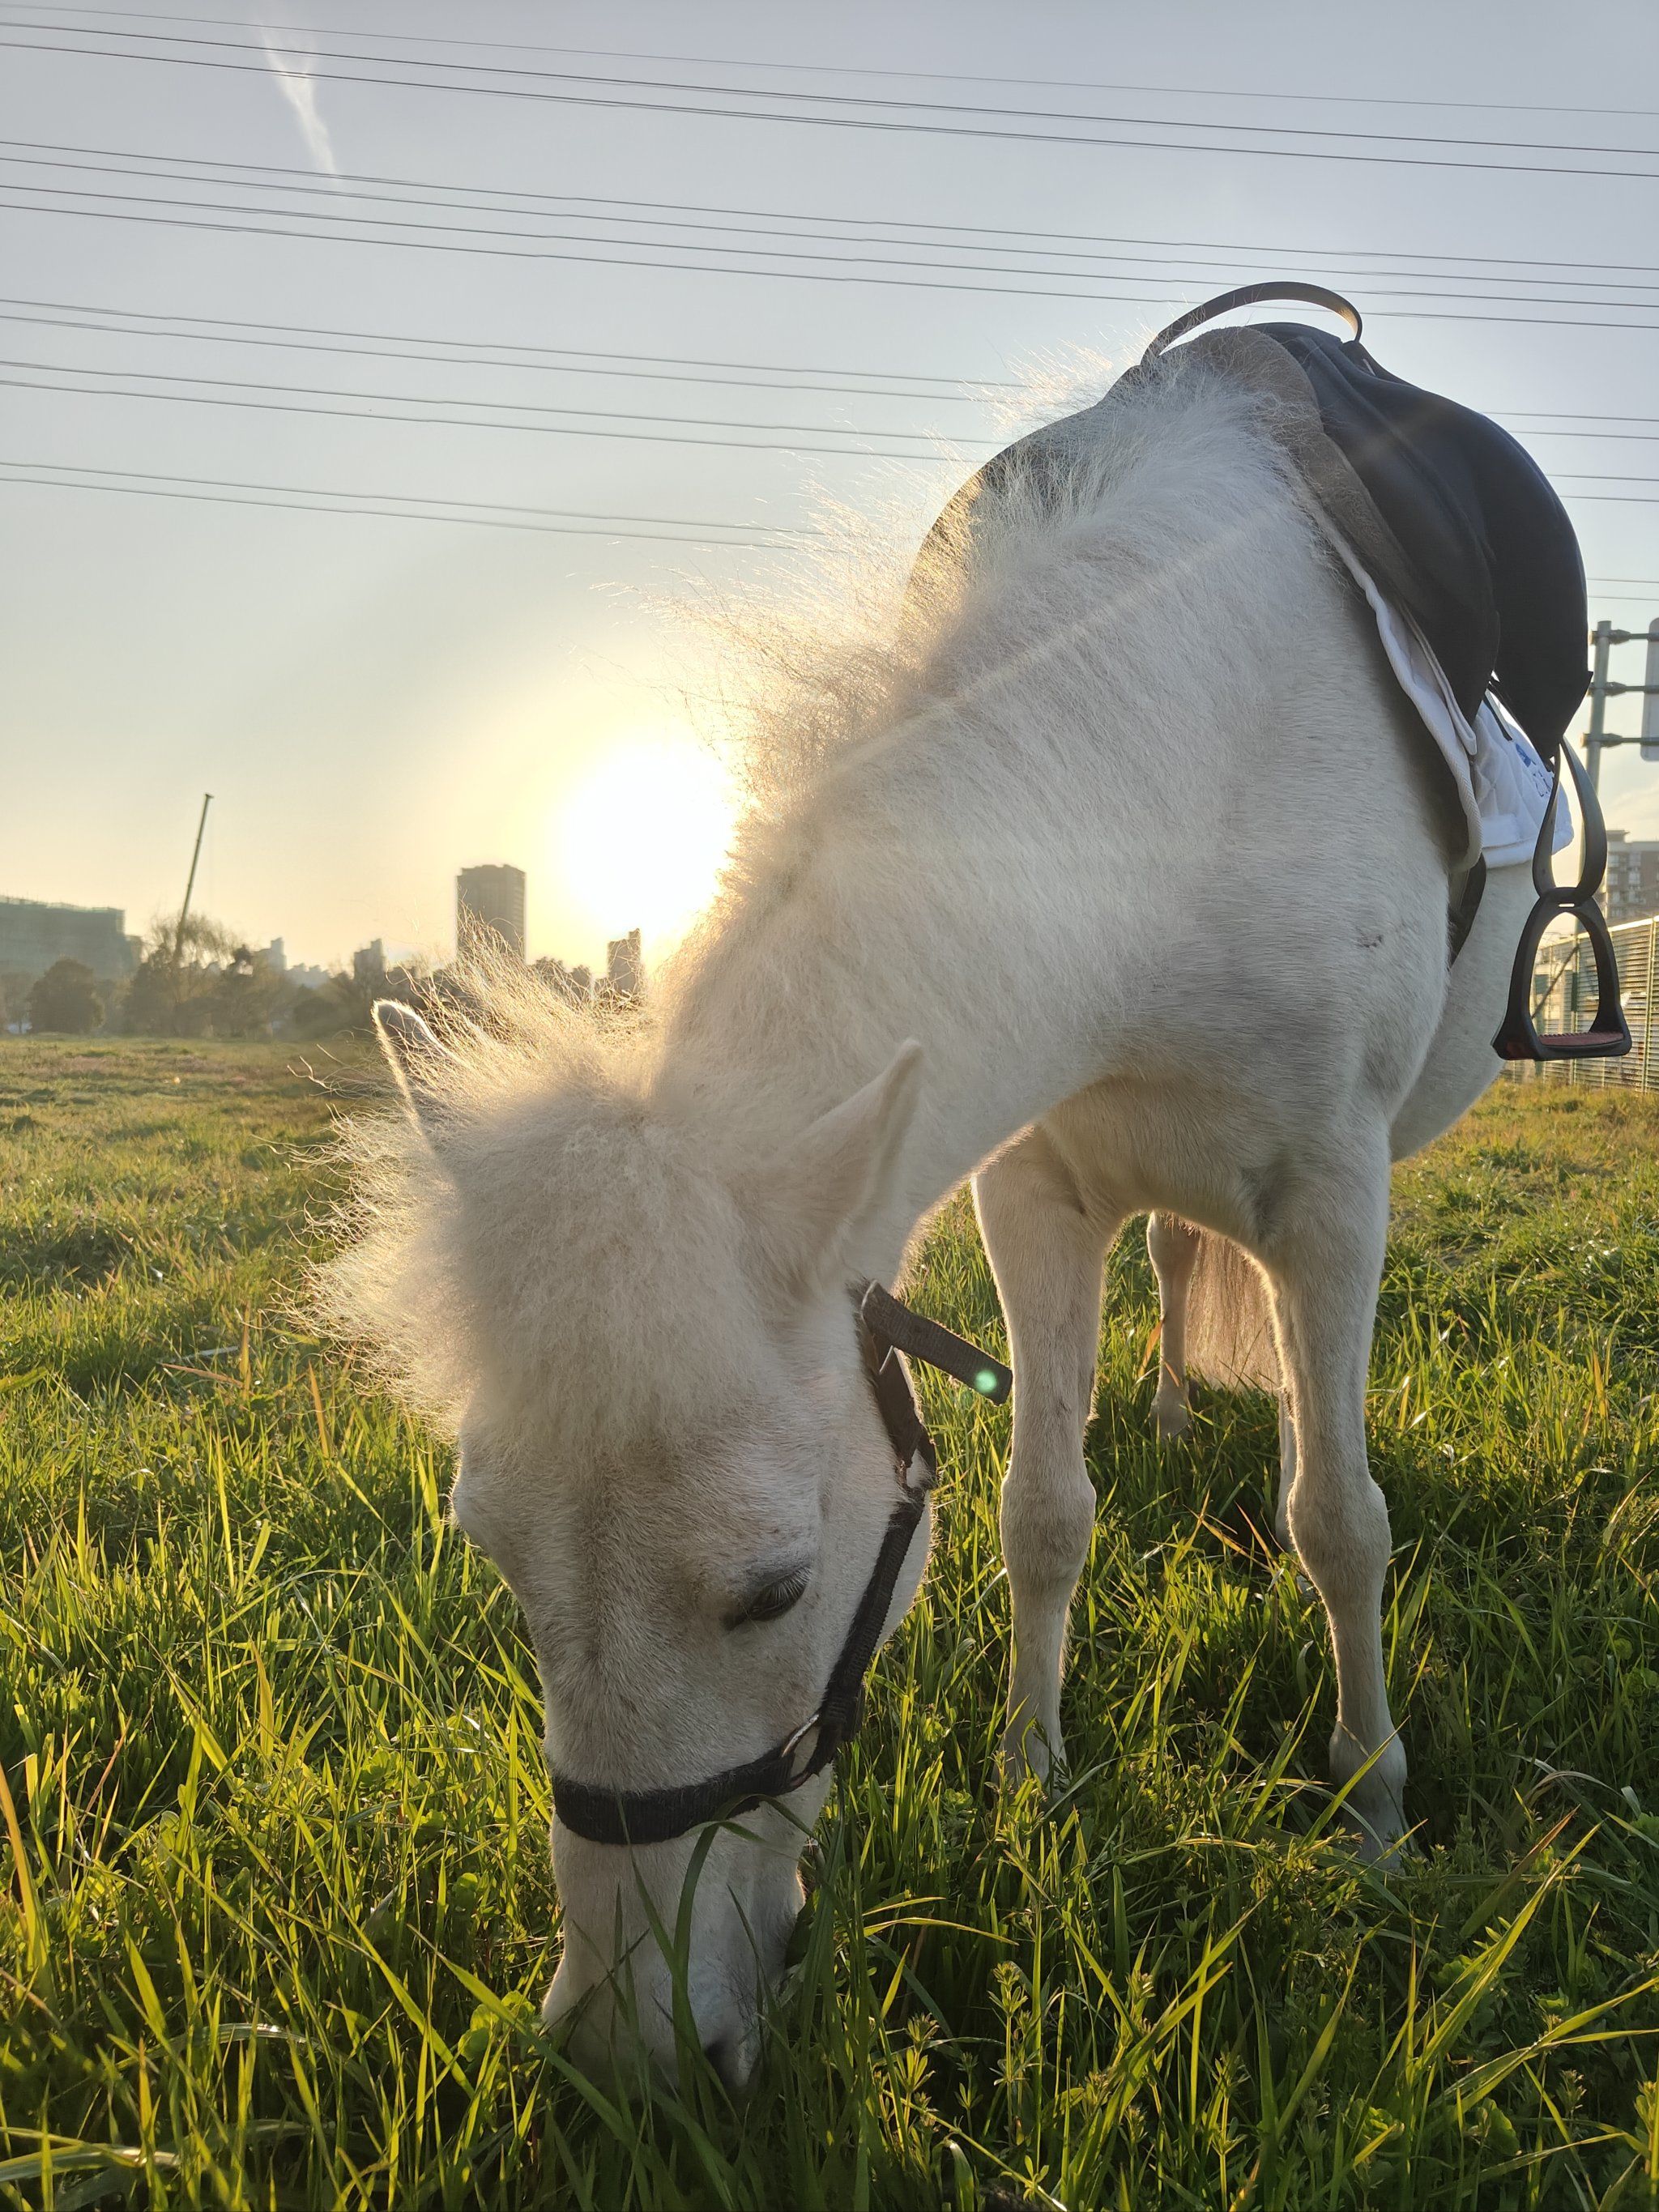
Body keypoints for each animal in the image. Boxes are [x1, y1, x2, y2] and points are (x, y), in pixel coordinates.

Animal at [324, 339, 1533, 2090]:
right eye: (494, 1561)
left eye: (771, 1588)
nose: (623, 2055)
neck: (1180, 784)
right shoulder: (1033, 1192)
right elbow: (1043, 1513)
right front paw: (1030, 1777)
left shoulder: (1331, 1193)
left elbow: (1339, 1521)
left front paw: (1369, 1811)